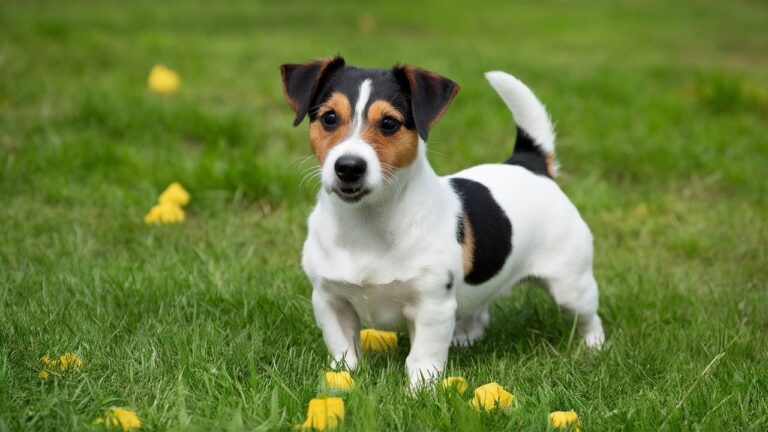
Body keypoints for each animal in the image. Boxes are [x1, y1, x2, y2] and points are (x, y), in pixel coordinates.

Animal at [280, 56, 604, 388]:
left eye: (389, 123)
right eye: (329, 118)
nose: (348, 167)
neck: (367, 222)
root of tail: (529, 164)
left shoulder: (433, 306)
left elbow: (423, 357)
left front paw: (420, 390)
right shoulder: (329, 300)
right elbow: (343, 348)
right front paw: (343, 378)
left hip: (570, 285)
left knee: (589, 317)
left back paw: (593, 347)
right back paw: (465, 336)